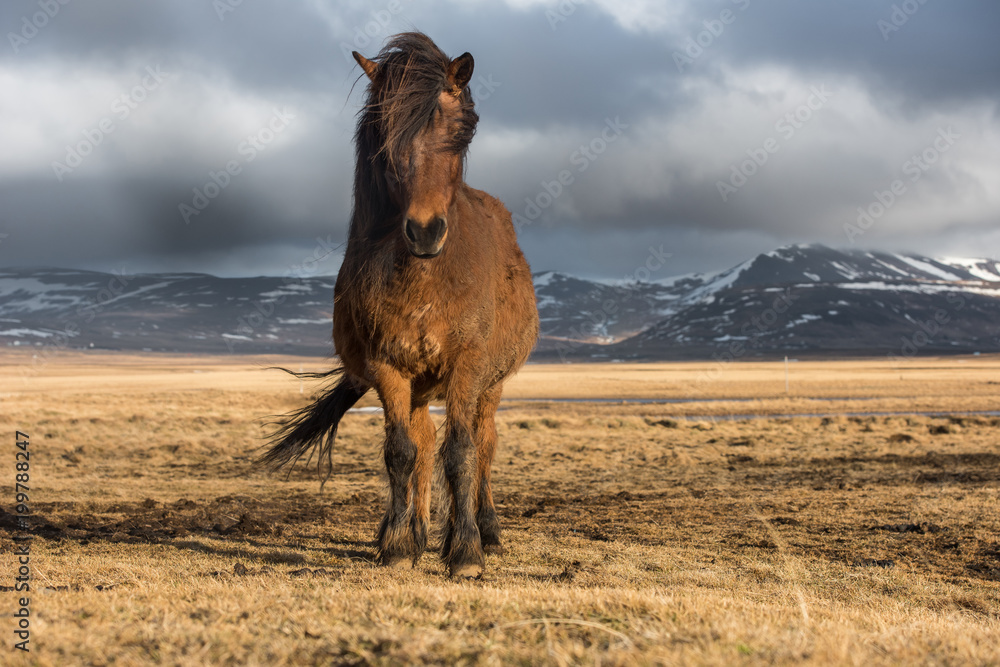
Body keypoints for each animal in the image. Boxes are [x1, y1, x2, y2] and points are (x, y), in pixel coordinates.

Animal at [260, 34, 540, 580]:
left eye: (461, 132)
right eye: (386, 138)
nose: (425, 232)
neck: (427, 278)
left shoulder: (468, 365)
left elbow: (462, 452)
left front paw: (466, 552)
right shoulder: (388, 366)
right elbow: (401, 453)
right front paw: (396, 545)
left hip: (491, 384)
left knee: (484, 442)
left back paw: (484, 531)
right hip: (419, 384)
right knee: (425, 442)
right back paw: (420, 531)